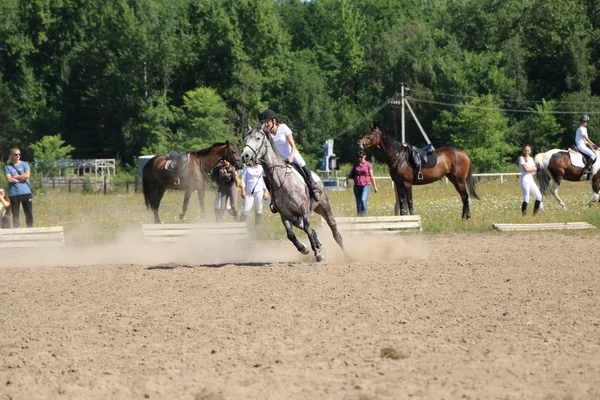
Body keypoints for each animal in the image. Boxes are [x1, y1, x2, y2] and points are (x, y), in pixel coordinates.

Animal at [239, 126, 342, 260]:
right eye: (246, 138)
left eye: (258, 138)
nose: (245, 156)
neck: (281, 180)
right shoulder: (285, 214)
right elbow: (290, 234)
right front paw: (305, 249)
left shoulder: (303, 208)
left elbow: (307, 228)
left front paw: (318, 253)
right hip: (295, 218)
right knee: (309, 229)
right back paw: (317, 245)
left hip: (322, 207)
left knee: (334, 231)